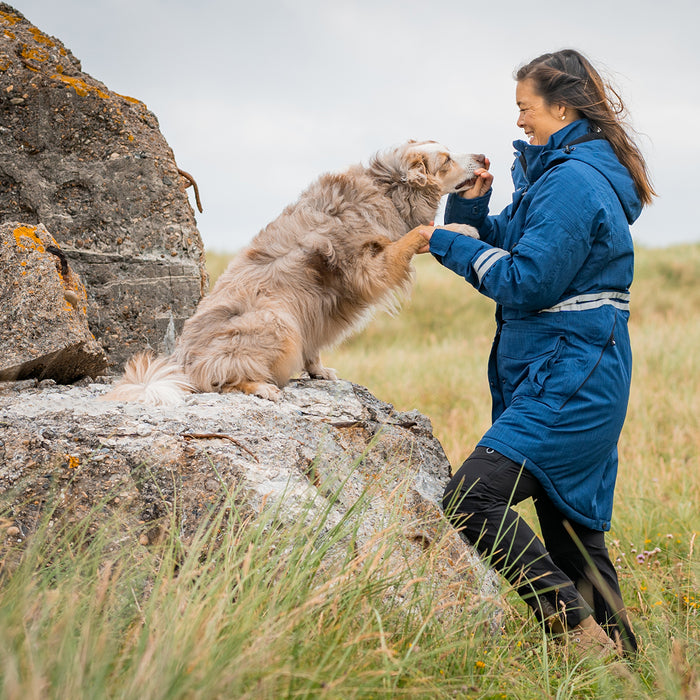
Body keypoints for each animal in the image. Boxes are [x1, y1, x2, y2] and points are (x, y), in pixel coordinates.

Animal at [104, 141, 484, 404]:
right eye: (446, 159)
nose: (482, 157)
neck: (389, 186)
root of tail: (179, 364)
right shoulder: (368, 269)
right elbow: (417, 233)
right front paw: (461, 229)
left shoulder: (316, 309)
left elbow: (313, 344)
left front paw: (318, 371)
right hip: (278, 322)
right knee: (218, 378)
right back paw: (260, 386)